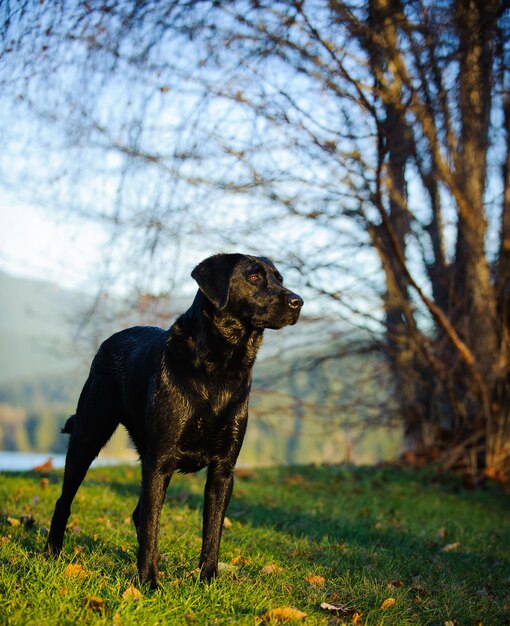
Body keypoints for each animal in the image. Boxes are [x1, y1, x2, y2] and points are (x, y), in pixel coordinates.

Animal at [44, 252, 302, 584]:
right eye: (254, 277)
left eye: (280, 279)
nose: (298, 301)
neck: (220, 368)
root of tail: (111, 339)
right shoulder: (160, 460)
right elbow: (153, 527)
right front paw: (149, 583)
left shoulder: (223, 468)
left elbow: (212, 531)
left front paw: (207, 581)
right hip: (88, 436)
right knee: (66, 501)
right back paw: (52, 552)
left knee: (139, 514)